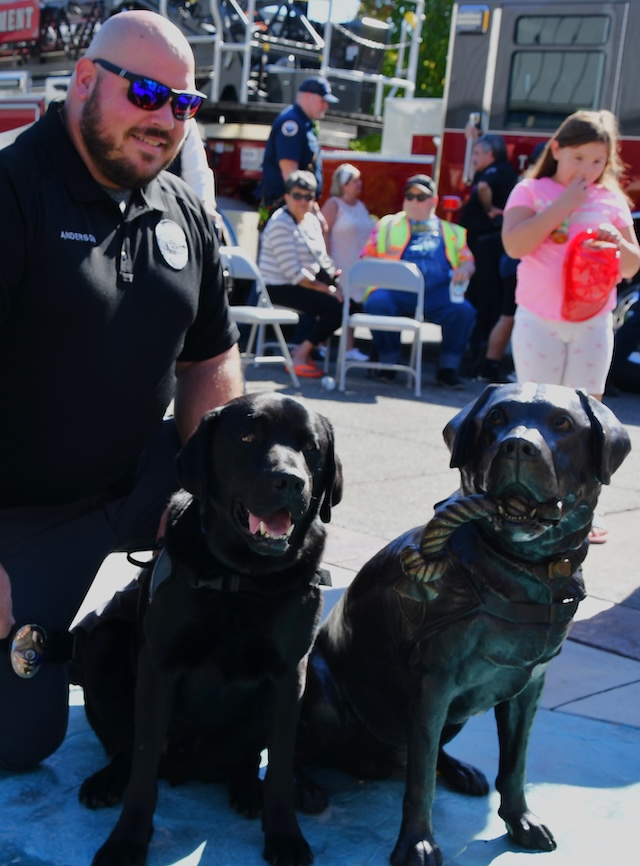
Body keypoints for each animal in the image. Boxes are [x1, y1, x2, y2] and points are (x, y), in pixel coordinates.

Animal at [74, 394, 340, 864]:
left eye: (311, 448)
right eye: (248, 437)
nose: (291, 482)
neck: (241, 578)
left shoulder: (290, 674)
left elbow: (280, 769)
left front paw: (285, 836)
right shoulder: (159, 665)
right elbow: (143, 765)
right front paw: (126, 840)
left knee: (248, 761)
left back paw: (250, 789)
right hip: (104, 645)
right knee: (126, 750)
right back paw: (107, 781)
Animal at [298, 382, 632, 864]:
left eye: (563, 423)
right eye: (496, 419)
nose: (517, 445)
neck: (523, 570)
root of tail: (366, 759)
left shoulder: (529, 686)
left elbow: (515, 764)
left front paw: (521, 821)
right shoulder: (432, 687)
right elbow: (420, 783)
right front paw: (417, 842)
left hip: (455, 716)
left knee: (426, 753)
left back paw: (460, 770)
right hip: (324, 691)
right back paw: (304, 788)